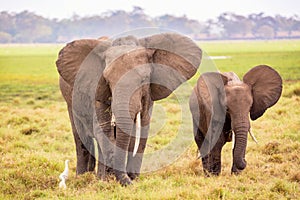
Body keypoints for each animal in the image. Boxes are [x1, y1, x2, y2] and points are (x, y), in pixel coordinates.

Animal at [56, 32, 202, 185]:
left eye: (144, 79)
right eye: (107, 80)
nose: (130, 181)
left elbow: (141, 132)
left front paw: (133, 179)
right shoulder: (97, 91)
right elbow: (104, 130)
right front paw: (109, 180)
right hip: (70, 101)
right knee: (81, 137)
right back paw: (84, 177)